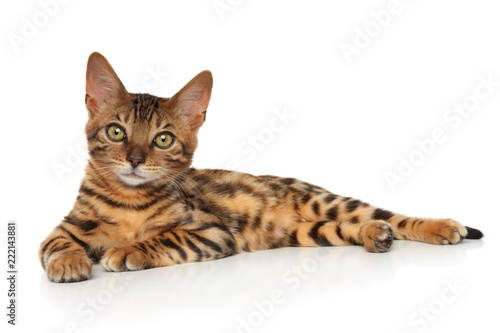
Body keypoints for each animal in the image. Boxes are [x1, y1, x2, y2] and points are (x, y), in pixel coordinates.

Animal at [39, 51, 484, 280]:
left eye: (163, 139)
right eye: (116, 132)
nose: (134, 159)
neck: (129, 201)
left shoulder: (211, 232)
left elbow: (163, 238)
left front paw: (129, 250)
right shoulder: (62, 228)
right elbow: (56, 244)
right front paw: (69, 262)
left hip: (326, 202)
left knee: (392, 214)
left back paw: (441, 226)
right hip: (309, 233)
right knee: (355, 226)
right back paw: (376, 235)